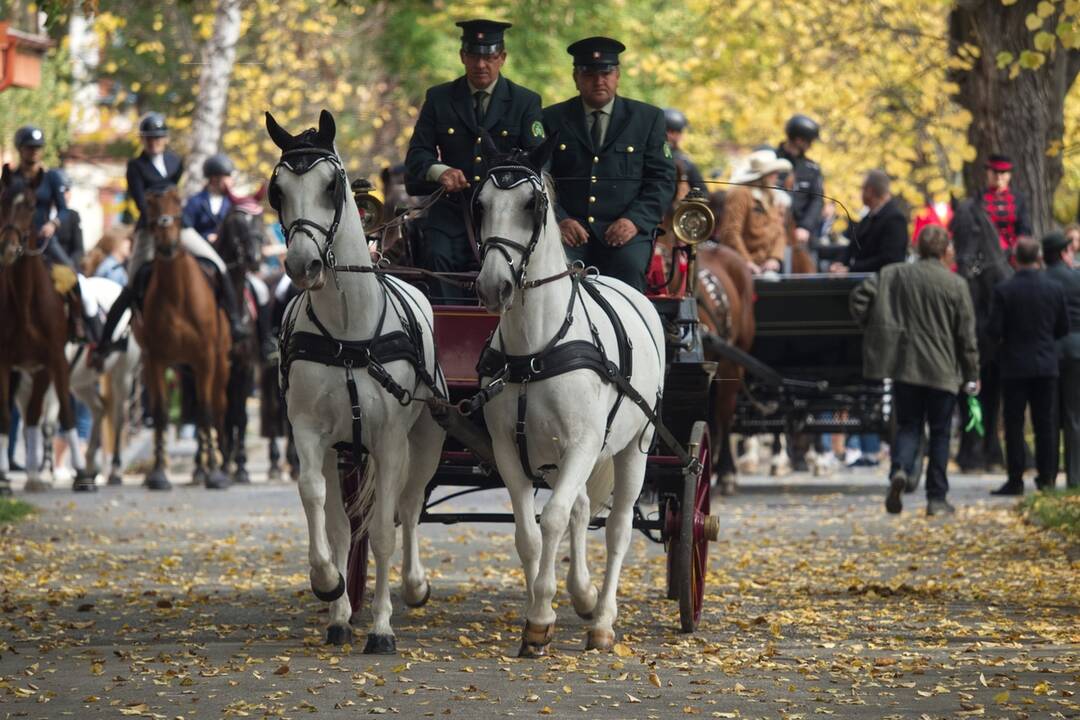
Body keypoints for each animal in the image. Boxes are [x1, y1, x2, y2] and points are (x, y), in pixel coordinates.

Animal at [0, 167, 93, 496]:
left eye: (30, 205)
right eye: (2, 200)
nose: (8, 249)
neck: (26, 300)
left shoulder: (56, 360)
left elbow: (66, 413)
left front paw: (82, 474)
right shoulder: (4, 363)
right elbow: (5, 417)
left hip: (41, 370)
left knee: (33, 414)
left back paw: (35, 477)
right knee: (27, 414)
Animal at [135, 187, 232, 490]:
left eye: (178, 210)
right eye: (151, 212)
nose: (167, 246)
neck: (177, 293)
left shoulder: (206, 359)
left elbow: (206, 412)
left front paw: (215, 473)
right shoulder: (156, 361)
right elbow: (161, 414)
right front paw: (158, 474)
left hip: (219, 365)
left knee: (217, 409)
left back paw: (221, 466)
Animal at [265, 108, 447, 651]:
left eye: (332, 185)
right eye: (276, 190)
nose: (302, 264)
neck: (349, 331)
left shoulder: (389, 442)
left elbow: (386, 529)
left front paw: (383, 628)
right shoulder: (310, 434)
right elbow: (323, 511)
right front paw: (330, 588)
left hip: (425, 440)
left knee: (409, 506)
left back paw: (413, 586)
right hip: (344, 452)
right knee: (348, 522)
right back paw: (343, 611)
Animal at [475, 136, 665, 660]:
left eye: (531, 205)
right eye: (480, 204)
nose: (493, 285)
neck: (536, 350)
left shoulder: (582, 444)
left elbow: (554, 518)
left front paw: (541, 617)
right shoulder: (508, 450)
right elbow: (528, 533)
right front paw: (539, 612)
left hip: (633, 447)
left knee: (617, 528)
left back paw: (601, 621)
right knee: (581, 508)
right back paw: (583, 595)